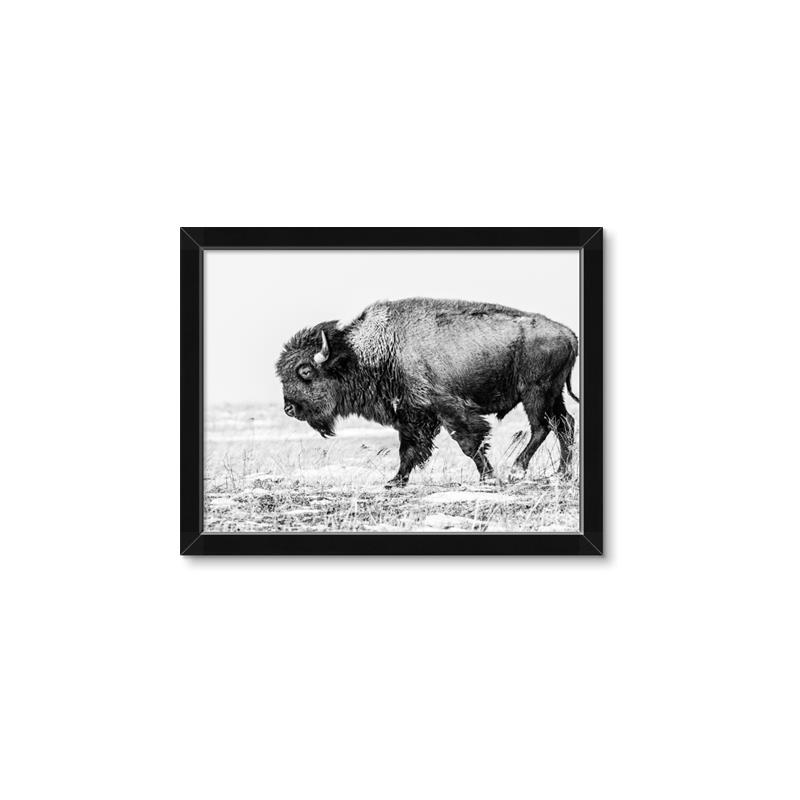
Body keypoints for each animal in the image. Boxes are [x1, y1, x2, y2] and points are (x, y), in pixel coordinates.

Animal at [276, 298, 578, 488]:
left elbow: (469, 444)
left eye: (305, 371)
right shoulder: (412, 416)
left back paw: (517, 471)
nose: (289, 408)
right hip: (554, 395)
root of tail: (570, 335)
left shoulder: (447, 410)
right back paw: (561, 474)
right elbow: (409, 450)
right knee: (564, 424)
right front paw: (394, 482)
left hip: (535, 394)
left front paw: (489, 477)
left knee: (542, 427)